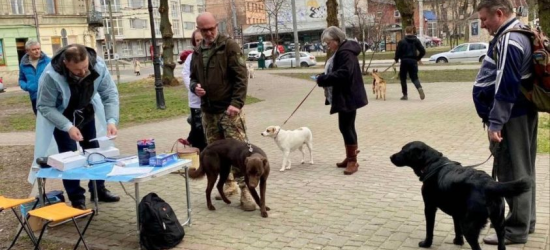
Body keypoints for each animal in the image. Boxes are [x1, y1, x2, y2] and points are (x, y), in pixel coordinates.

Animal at [390, 142, 532, 249]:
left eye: (404, 151)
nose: (391, 156)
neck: (433, 163)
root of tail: (489, 183)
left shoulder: (430, 206)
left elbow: (429, 229)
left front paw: (426, 244)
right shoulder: (457, 212)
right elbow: (456, 228)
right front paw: (458, 241)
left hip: (469, 225)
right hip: (499, 222)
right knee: (501, 242)